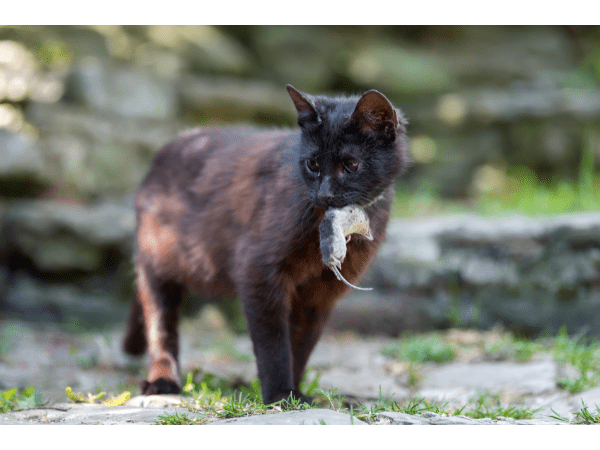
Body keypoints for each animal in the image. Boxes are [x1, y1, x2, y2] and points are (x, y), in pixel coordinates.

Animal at [122, 84, 408, 404]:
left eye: (351, 165)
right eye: (312, 164)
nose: (324, 195)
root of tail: (172, 146)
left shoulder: (318, 294)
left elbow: (301, 345)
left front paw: (295, 394)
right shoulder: (258, 272)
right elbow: (273, 342)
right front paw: (280, 394)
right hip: (158, 266)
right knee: (160, 326)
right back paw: (162, 381)